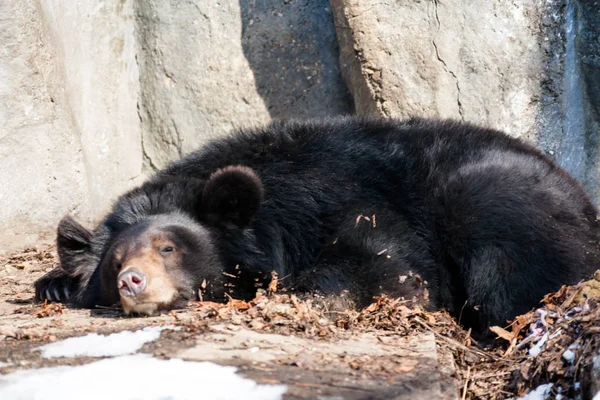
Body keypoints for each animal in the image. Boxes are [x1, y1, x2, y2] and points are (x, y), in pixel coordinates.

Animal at [34, 117, 600, 332]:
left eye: (168, 247)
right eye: (115, 264)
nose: (134, 282)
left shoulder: (354, 201)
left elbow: (386, 265)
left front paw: (297, 295)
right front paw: (54, 284)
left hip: (494, 201)